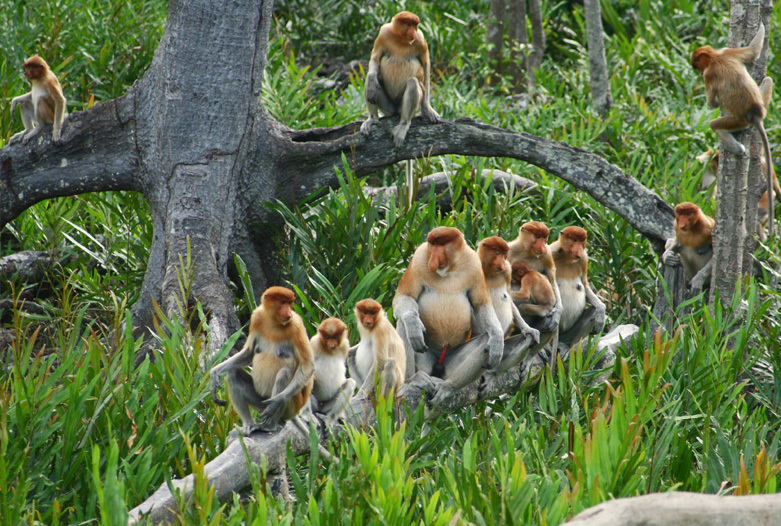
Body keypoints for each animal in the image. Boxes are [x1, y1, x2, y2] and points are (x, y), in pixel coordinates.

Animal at [212, 286, 316, 436]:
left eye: (290, 303)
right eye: (283, 302)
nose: (289, 312)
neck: (274, 321)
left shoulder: (296, 325)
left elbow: (308, 365)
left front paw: (275, 402)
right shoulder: (257, 317)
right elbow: (249, 353)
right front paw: (213, 374)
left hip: (291, 405)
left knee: (284, 373)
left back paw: (269, 426)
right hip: (260, 403)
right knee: (233, 373)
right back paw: (249, 424)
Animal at [394, 226, 502, 404]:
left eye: (442, 244)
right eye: (432, 245)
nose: (433, 260)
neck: (449, 270)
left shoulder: (474, 264)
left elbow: (480, 305)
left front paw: (498, 339)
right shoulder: (419, 258)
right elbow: (404, 297)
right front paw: (413, 324)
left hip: (450, 365)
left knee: (485, 342)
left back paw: (448, 386)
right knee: (404, 324)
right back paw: (413, 378)